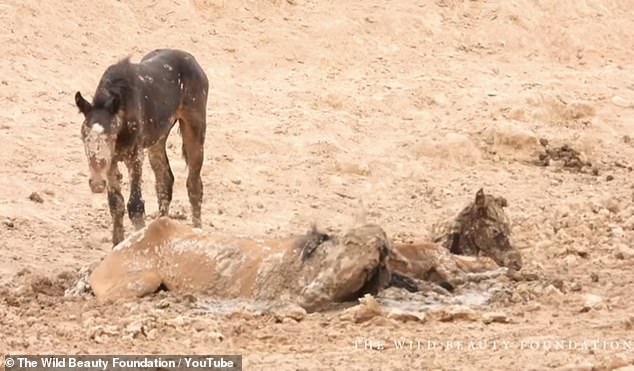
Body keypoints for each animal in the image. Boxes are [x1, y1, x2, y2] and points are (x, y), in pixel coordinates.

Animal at [74, 49, 207, 247]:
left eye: (110, 136)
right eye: (84, 136)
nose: (97, 184)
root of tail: (194, 61)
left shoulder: (135, 157)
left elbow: (135, 205)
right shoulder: (112, 161)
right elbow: (116, 204)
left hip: (194, 130)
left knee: (194, 185)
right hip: (157, 140)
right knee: (165, 181)